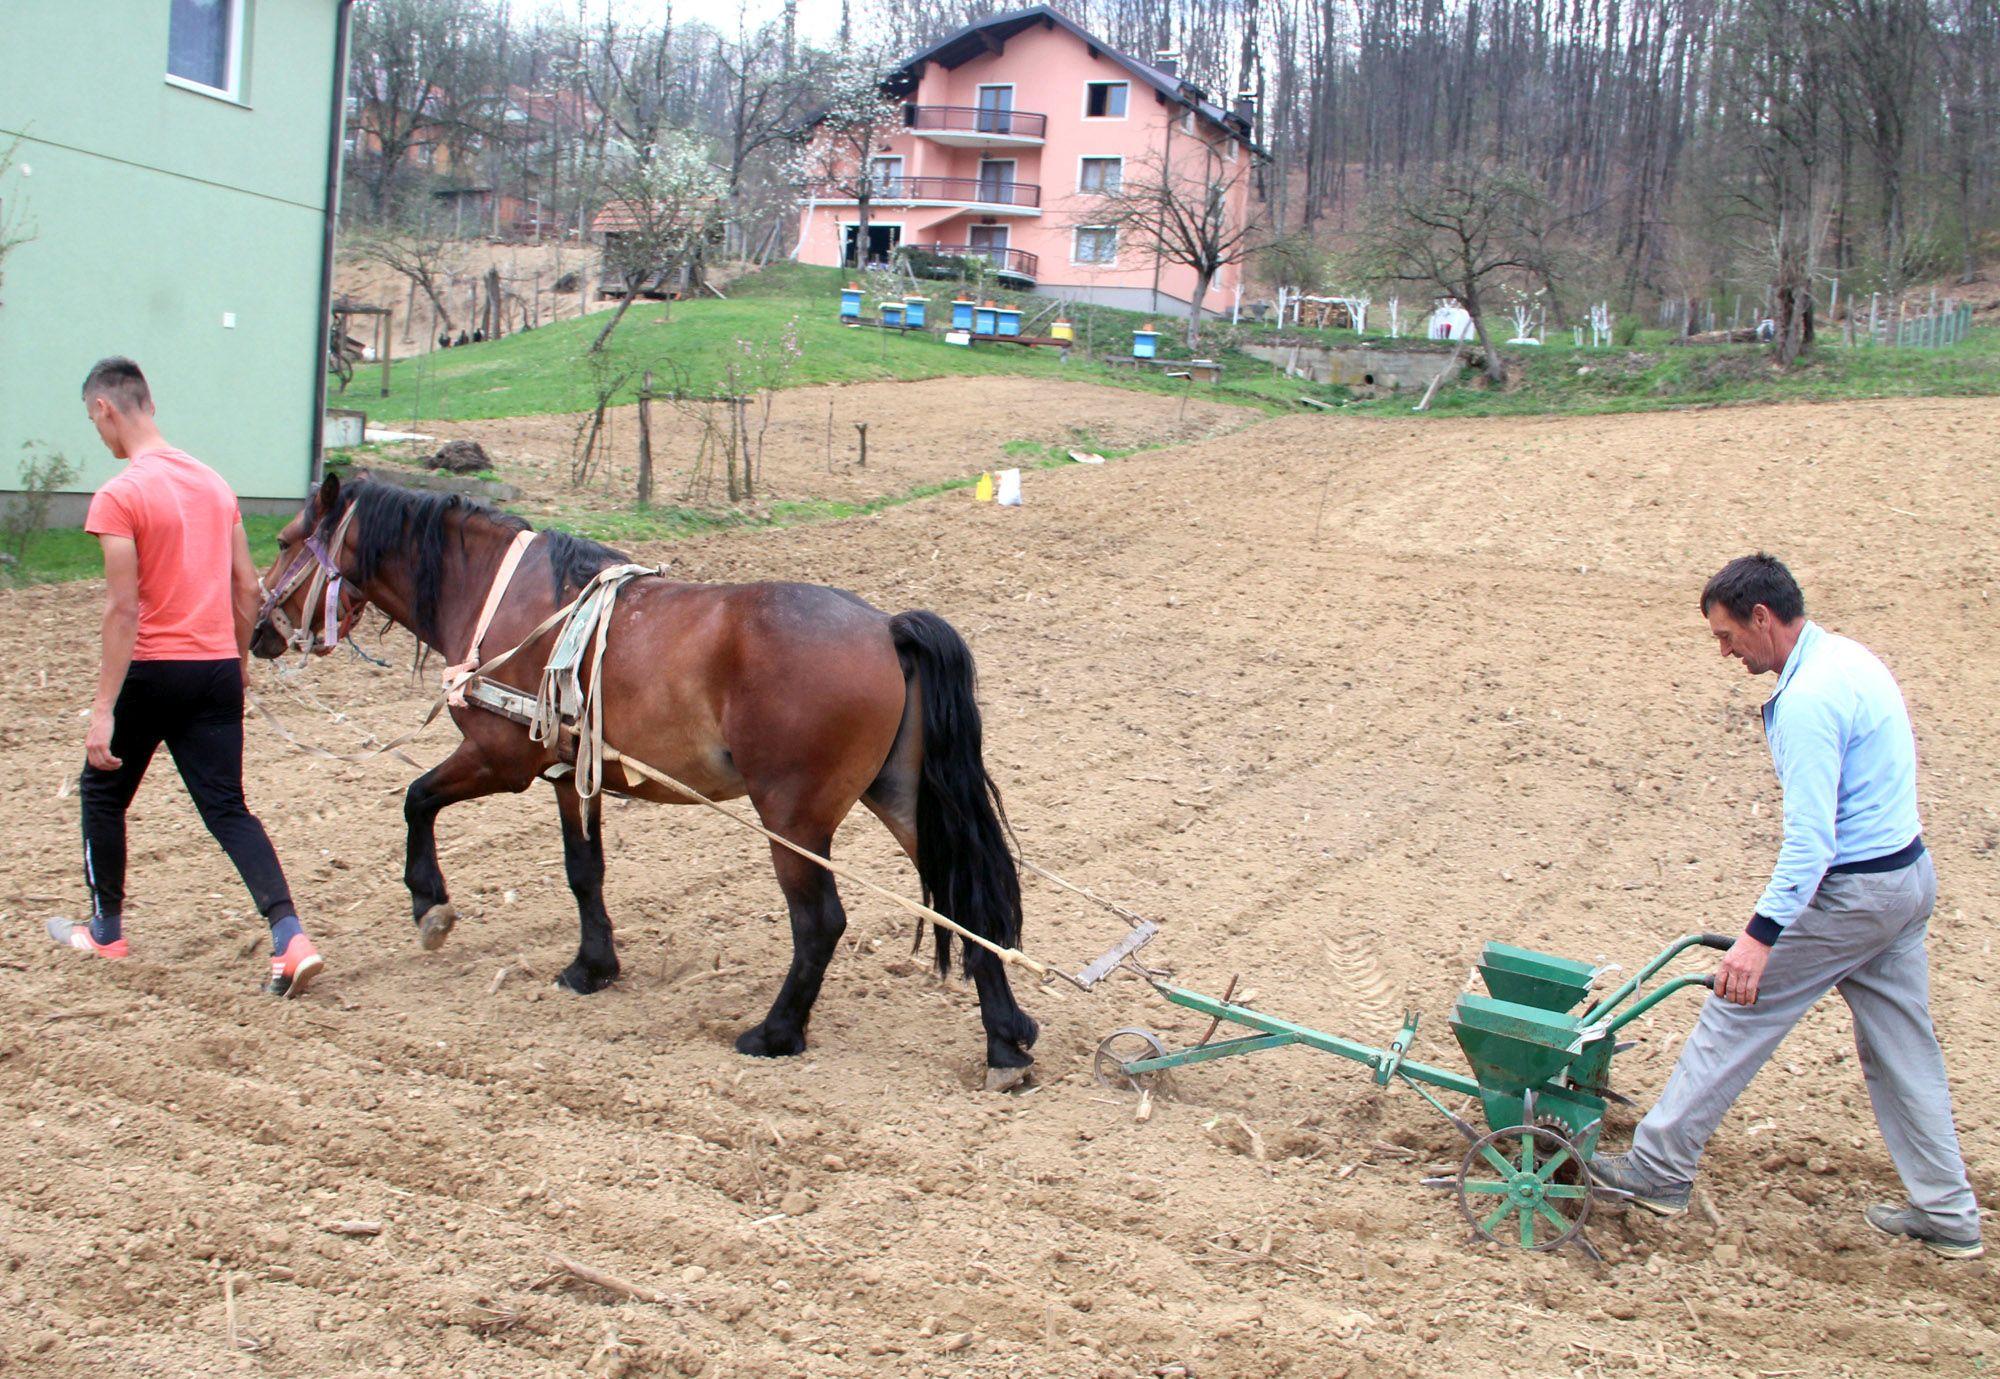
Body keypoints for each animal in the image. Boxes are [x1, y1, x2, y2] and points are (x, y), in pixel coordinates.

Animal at [248, 471, 1032, 1071]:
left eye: (284, 543)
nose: (255, 629)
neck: (500, 596)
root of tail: (885, 628)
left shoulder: (501, 758)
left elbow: (416, 797)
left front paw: (429, 905)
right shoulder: (571, 774)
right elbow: (583, 871)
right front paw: (591, 967)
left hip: (793, 818)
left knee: (820, 924)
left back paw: (775, 1032)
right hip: (900, 799)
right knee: (965, 902)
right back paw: (1006, 1041)